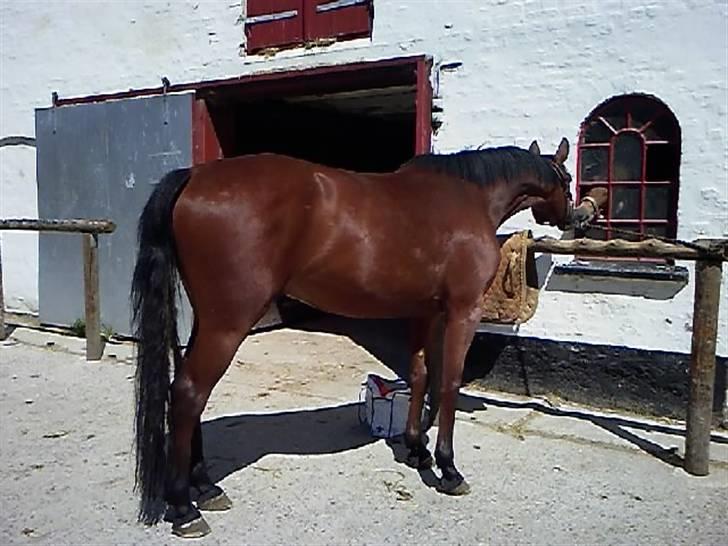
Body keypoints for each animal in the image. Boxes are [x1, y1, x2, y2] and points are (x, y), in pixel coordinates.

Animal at [131, 137, 574, 537]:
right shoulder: (463, 311)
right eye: (568, 178)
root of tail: (194, 177)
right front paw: (448, 468)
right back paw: (184, 507)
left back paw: (205, 487)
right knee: (189, 393)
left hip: (208, 321)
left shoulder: (424, 312)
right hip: (227, 325)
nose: (576, 218)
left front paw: (416, 449)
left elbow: (419, 375)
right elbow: (447, 382)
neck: (468, 197)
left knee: (184, 392)